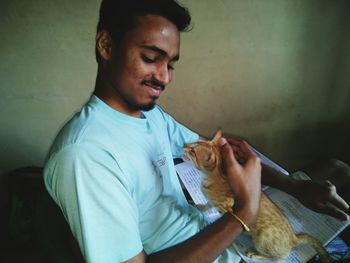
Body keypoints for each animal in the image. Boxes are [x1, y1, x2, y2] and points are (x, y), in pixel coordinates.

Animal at [183, 131, 330, 263]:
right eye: (192, 143)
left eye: (193, 151)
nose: (184, 145)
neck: (209, 179)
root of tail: (294, 237)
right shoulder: (213, 201)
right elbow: (208, 204)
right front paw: (201, 207)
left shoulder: (227, 207)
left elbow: (218, 213)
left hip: (262, 239)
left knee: (279, 257)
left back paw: (255, 254)